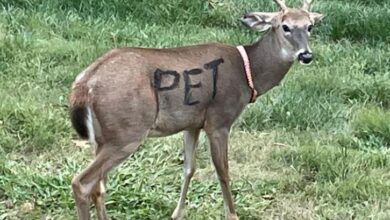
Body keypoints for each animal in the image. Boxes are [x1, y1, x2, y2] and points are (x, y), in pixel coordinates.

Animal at [69, 0, 322, 220]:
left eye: (310, 26)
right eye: (285, 26)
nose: (306, 55)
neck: (248, 72)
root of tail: (84, 84)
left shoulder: (192, 123)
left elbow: (189, 168)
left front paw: (176, 214)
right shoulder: (219, 120)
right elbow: (223, 171)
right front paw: (232, 215)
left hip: (103, 137)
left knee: (98, 186)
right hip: (127, 131)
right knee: (82, 182)